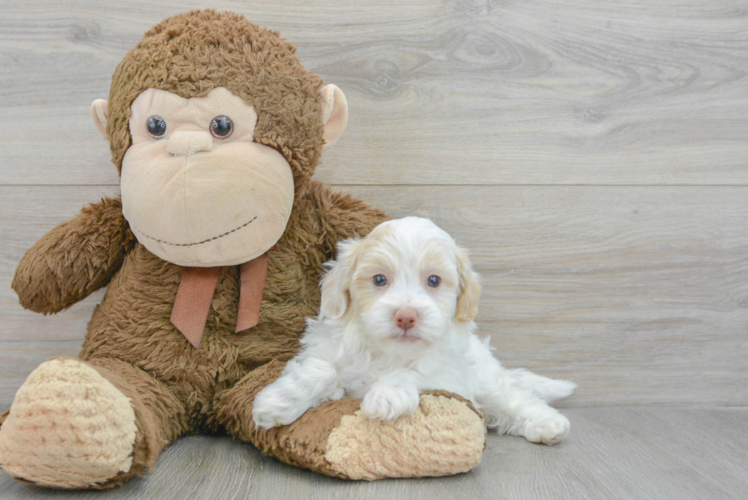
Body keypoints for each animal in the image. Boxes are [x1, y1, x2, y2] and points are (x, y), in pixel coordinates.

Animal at [254, 217, 576, 444]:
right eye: (379, 279)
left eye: (433, 281)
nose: (406, 316)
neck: (388, 353)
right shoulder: (326, 350)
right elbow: (321, 370)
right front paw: (277, 401)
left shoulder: (448, 376)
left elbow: (415, 372)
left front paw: (387, 395)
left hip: (487, 380)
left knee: (514, 399)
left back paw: (547, 423)